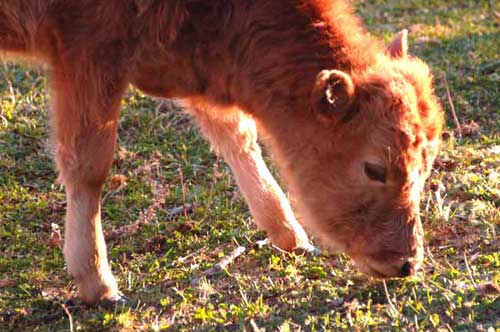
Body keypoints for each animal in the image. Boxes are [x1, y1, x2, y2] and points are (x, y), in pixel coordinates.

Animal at [0, 0, 446, 304]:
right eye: (374, 168)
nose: (405, 263)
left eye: (424, 169)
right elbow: (89, 165)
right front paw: (97, 283)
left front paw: (291, 236)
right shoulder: (90, 53)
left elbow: (236, 136)